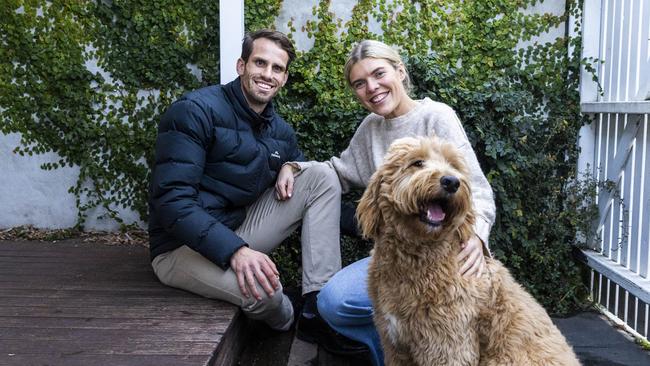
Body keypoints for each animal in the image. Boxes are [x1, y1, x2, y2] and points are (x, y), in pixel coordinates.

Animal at [356, 136, 580, 364]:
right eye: (417, 162)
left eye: (453, 165)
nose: (451, 181)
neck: (417, 257)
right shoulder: (394, 343)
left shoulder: (448, 343)